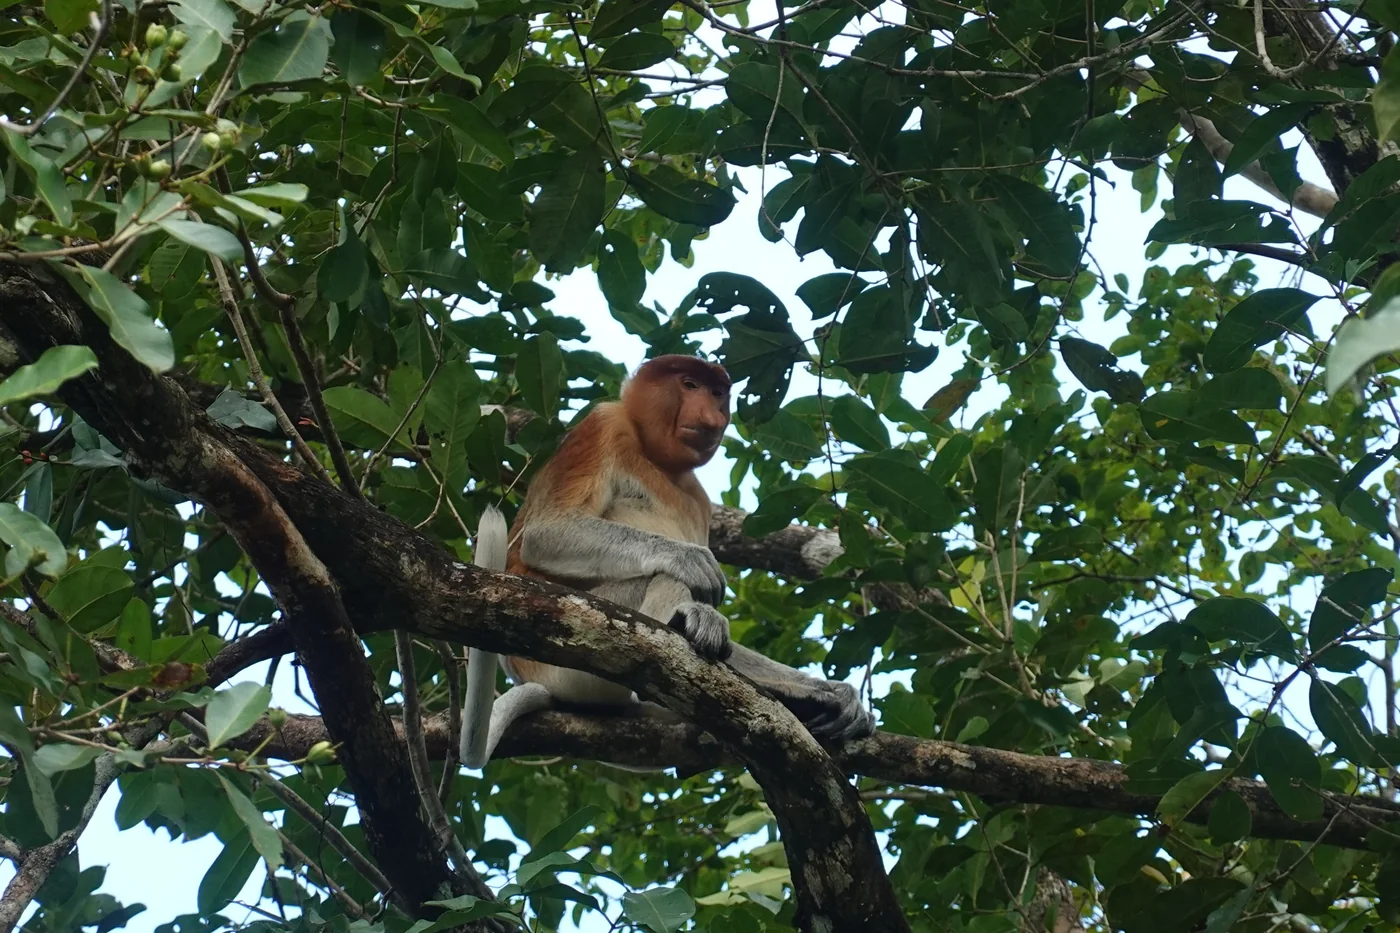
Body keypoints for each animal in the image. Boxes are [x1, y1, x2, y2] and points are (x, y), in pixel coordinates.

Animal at [460, 355, 875, 769]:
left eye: (717, 393)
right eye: (689, 385)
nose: (712, 416)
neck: (655, 458)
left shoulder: (700, 500)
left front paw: (835, 693)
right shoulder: (603, 426)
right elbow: (546, 532)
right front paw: (690, 560)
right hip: (569, 664)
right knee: (664, 580)